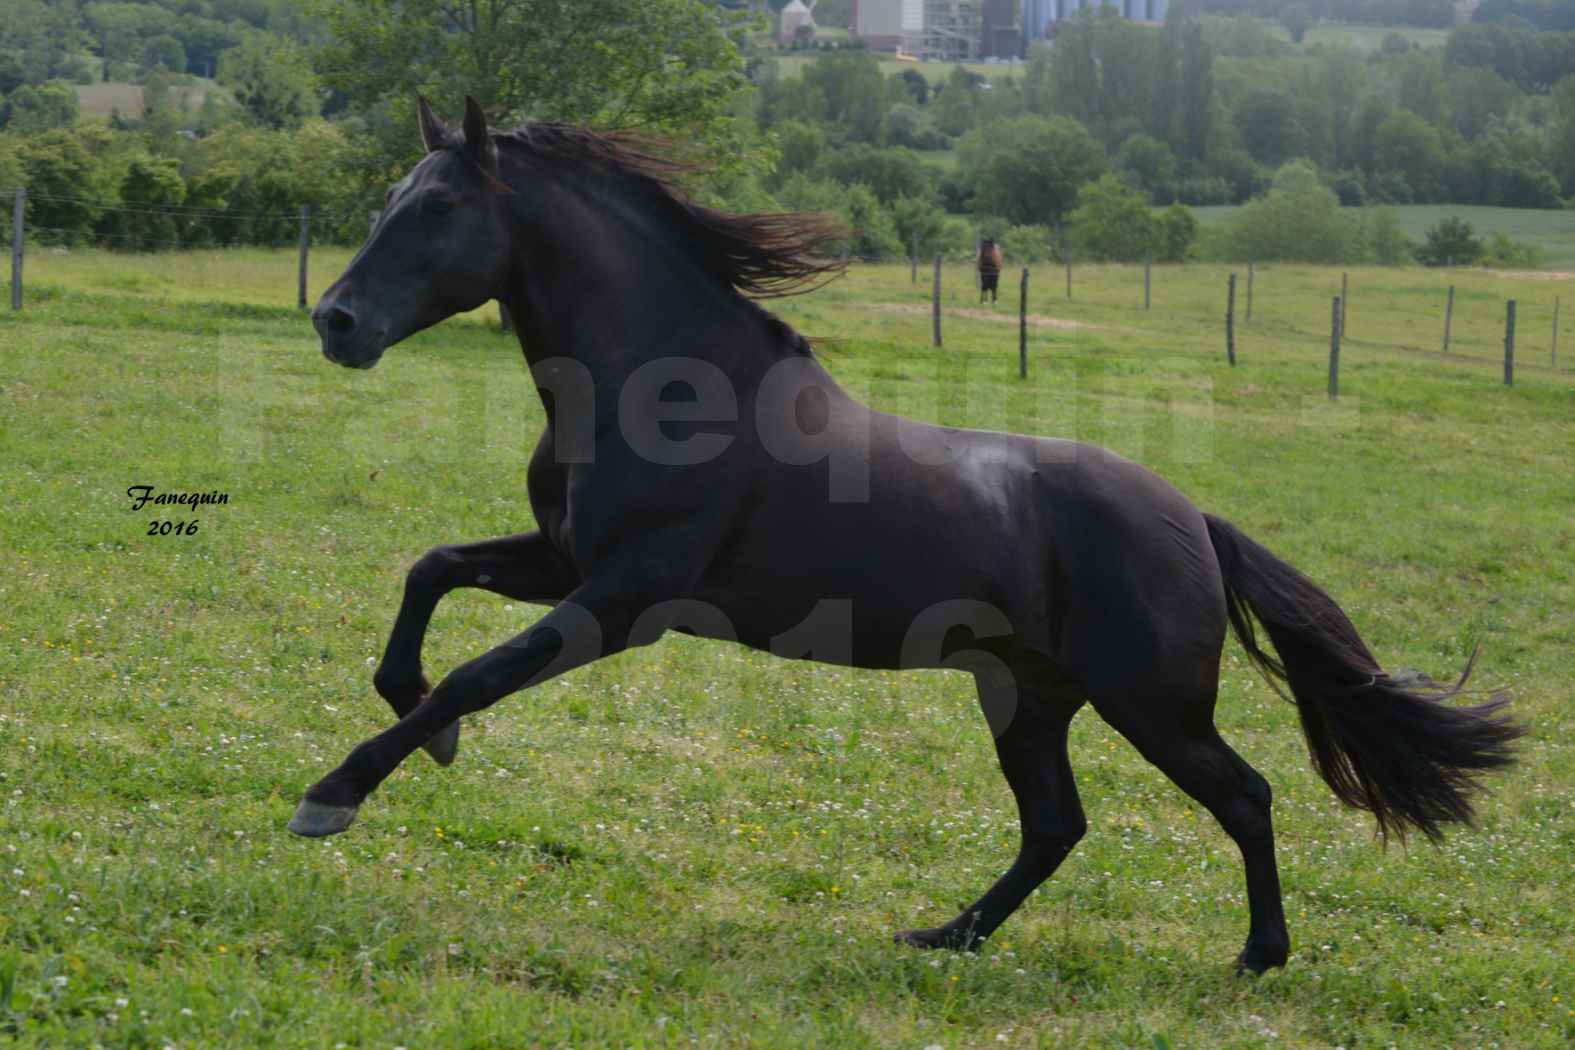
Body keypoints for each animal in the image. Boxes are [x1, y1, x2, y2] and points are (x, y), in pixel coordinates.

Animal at [289, 100, 1518, 976]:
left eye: (438, 210)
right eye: (394, 195)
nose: (334, 323)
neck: (663, 392)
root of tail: (1192, 520)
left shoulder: (626, 600)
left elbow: (478, 673)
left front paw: (335, 793)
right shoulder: (565, 562)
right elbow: (431, 577)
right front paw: (416, 727)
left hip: (1151, 704)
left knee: (1244, 796)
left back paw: (1258, 956)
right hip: (1026, 695)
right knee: (1056, 824)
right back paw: (946, 936)